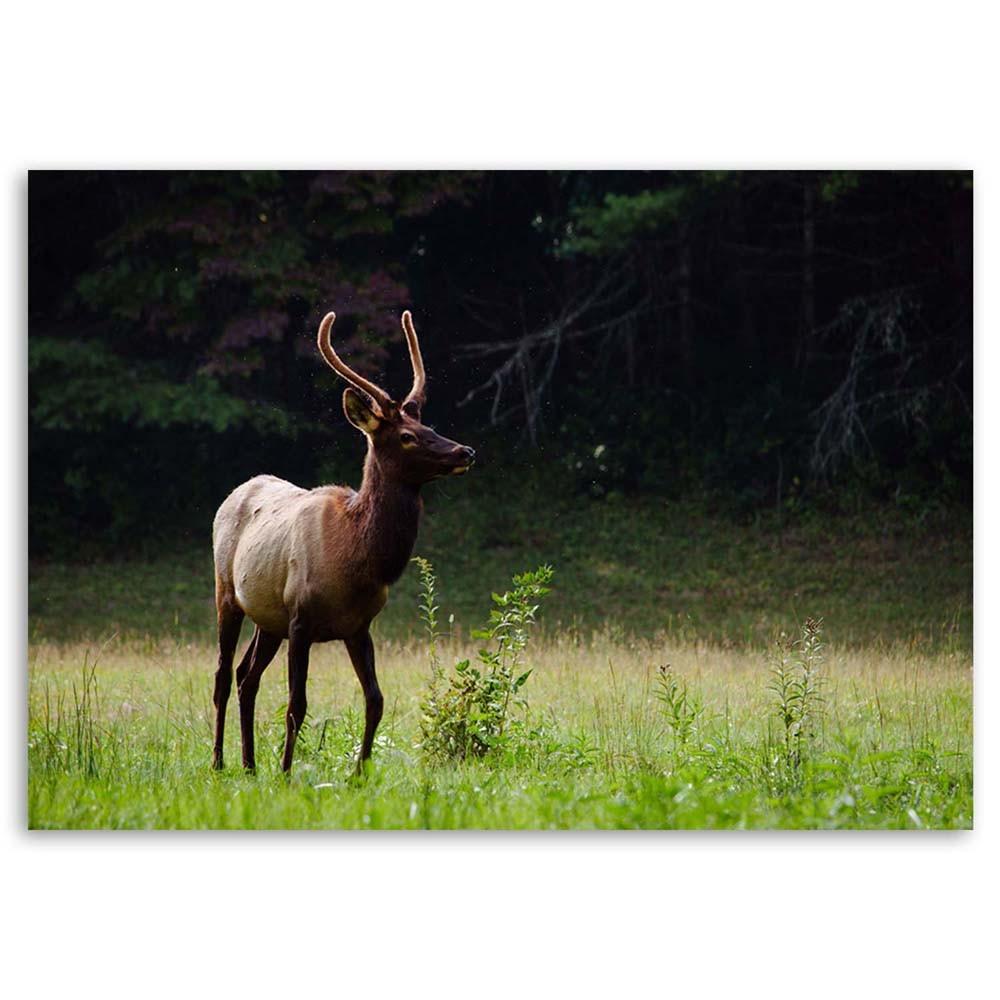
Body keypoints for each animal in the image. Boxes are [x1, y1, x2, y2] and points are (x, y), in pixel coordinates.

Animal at [211, 309, 475, 775]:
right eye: (406, 436)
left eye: (428, 425)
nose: (464, 451)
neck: (356, 560)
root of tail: (235, 492)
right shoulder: (300, 618)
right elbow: (296, 705)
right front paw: (286, 772)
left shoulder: (359, 626)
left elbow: (376, 700)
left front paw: (360, 772)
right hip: (227, 592)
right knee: (224, 676)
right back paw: (221, 762)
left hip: (268, 618)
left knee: (247, 676)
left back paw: (250, 764)